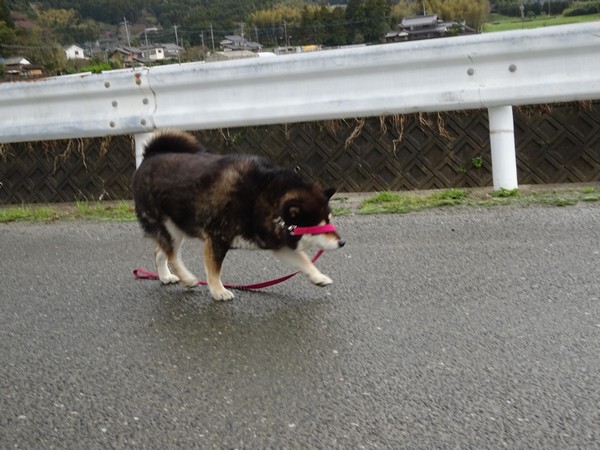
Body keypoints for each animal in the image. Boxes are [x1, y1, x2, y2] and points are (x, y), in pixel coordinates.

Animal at [132, 130, 345, 301]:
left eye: (330, 220)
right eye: (319, 226)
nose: (342, 243)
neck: (261, 197)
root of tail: (151, 156)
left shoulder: (279, 243)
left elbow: (304, 260)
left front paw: (318, 277)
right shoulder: (217, 238)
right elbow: (214, 270)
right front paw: (218, 291)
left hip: (178, 228)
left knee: (161, 252)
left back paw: (165, 276)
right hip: (169, 227)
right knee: (173, 255)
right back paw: (188, 278)